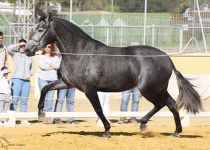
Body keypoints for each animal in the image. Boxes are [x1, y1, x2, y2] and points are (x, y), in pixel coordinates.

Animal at [25, 13, 203, 137]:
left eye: (40, 29)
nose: (27, 49)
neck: (80, 52)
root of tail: (167, 58)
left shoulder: (89, 89)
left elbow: (98, 109)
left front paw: (107, 130)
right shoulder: (68, 83)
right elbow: (46, 88)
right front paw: (41, 113)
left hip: (149, 89)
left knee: (162, 104)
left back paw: (144, 124)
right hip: (158, 88)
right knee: (171, 104)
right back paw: (175, 131)